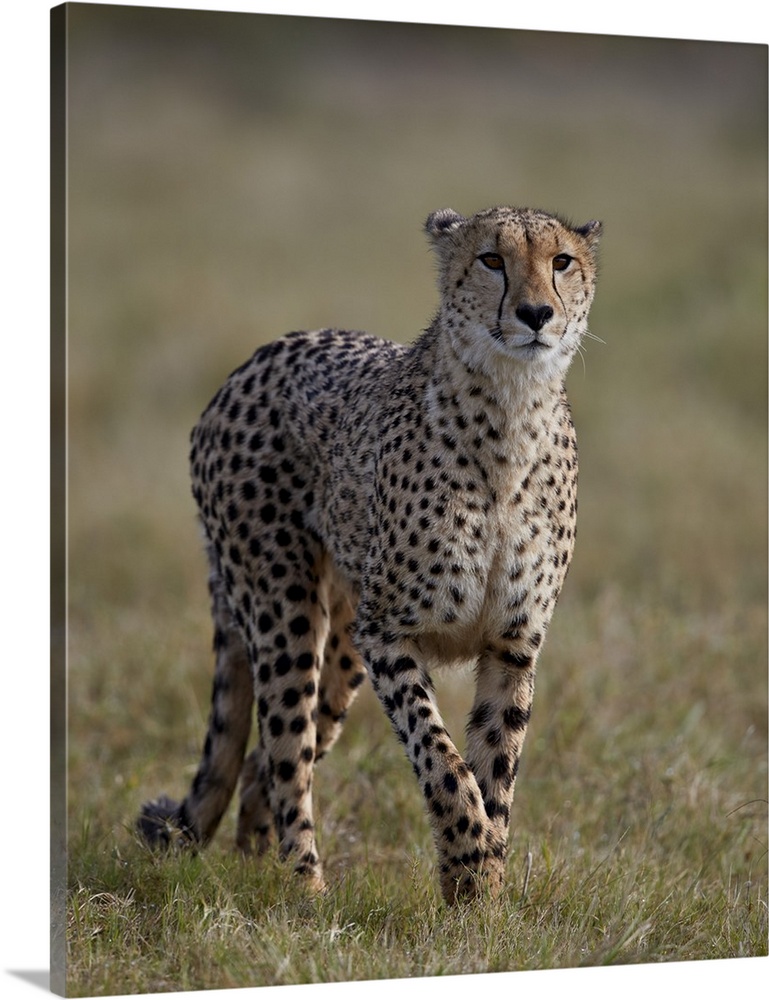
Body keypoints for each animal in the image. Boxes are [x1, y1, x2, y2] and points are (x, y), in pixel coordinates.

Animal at [138, 207, 600, 904]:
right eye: (492, 260)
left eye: (562, 262)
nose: (536, 313)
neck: (511, 415)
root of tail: (254, 361)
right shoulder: (388, 632)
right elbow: (443, 760)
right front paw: (468, 861)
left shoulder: (513, 643)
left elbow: (496, 768)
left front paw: (485, 898)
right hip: (287, 614)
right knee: (285, 755)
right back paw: (306, 894)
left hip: (341, 650)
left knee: (263, 764)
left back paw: (257, 867)